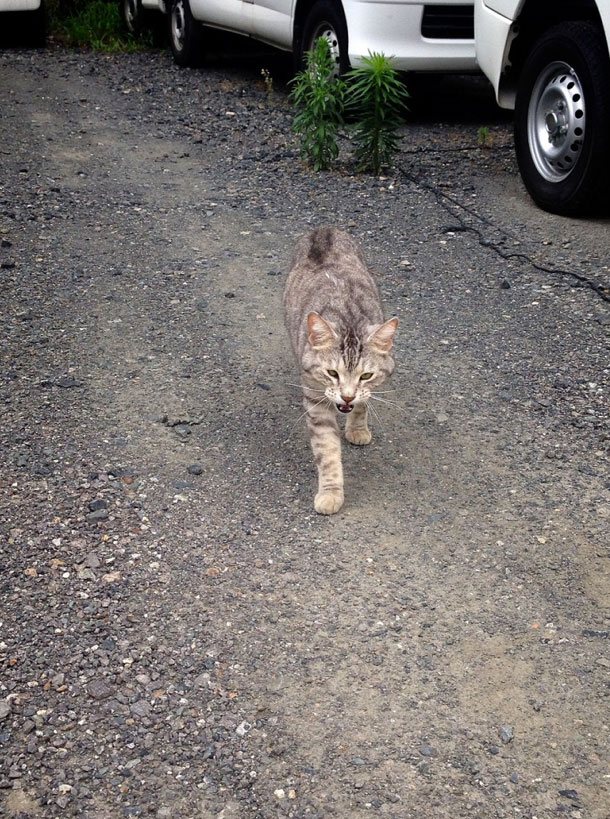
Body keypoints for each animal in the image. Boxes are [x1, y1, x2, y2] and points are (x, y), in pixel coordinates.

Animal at [282, 227, 396, 516]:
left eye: (366, 375)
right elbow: (328, 452)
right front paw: (331, 492)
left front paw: (357, 426)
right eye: (332, 373)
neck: (349, 320)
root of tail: (323, 229)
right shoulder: (315, 401)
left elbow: (364, 402)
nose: (346, 396)